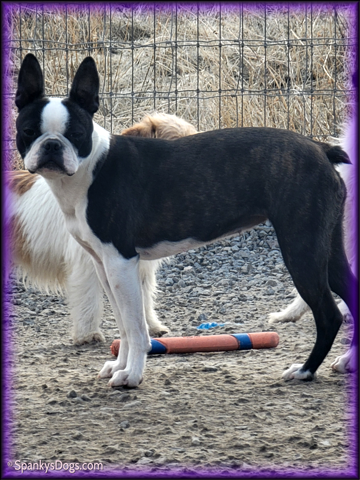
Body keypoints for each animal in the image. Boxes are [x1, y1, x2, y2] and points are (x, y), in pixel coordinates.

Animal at [14, 54, 358, 388]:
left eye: (76, 134)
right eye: (29, 131)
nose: (52, 145)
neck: (91, 168)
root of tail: (321, 148)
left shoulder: (121, 262)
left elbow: (135, 327)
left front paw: (132, 375)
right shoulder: (103, 265)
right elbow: (123, 324)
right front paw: (120, 366)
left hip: (302, 250)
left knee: (329, 315)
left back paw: (306, 370)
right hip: (327, 250)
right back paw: (346, 361)